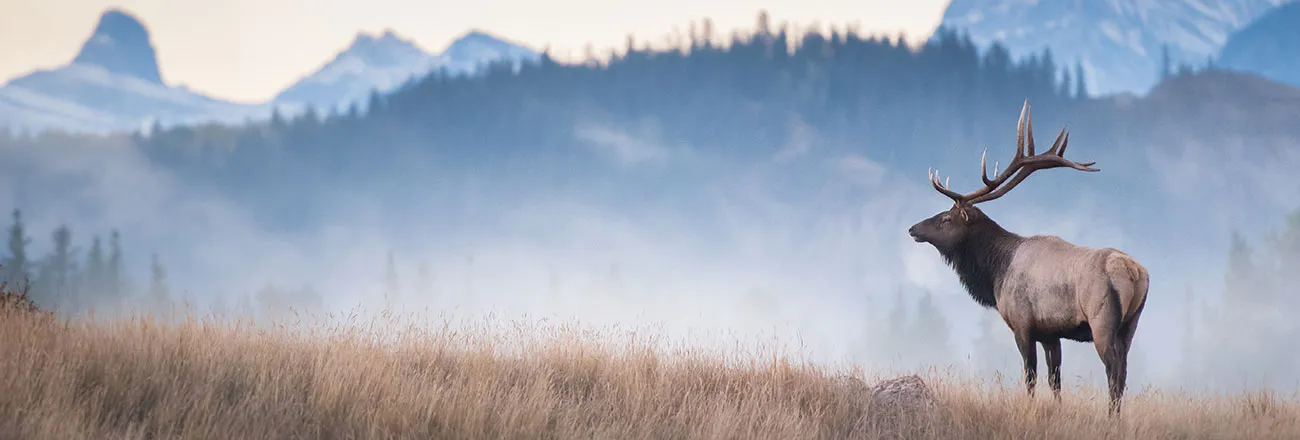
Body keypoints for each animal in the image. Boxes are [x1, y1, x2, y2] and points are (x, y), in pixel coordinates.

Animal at [906, 101, 1149, 416]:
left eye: (946, 219)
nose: (913, 228)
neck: (996, 273)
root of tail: (1135, 273)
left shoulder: (1022, 323)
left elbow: (1030, 375)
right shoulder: (1050, 332)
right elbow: (1055, 379)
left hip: (1102, 320)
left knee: (1113, 372)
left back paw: (1111, 417)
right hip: (1131, 324)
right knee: (1124, 371)